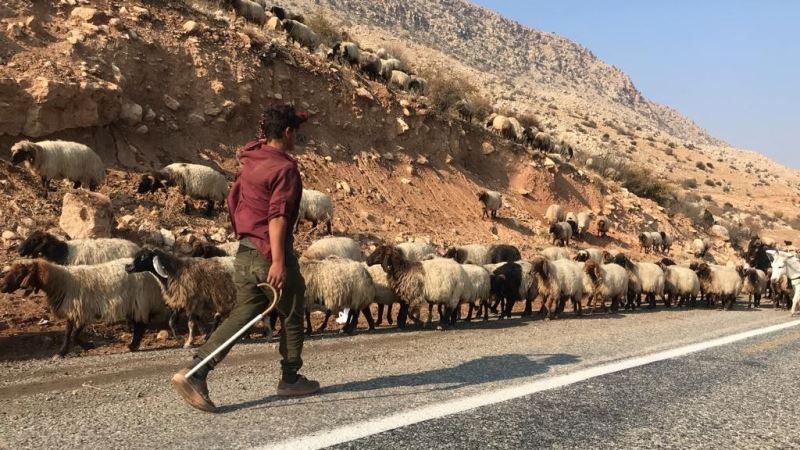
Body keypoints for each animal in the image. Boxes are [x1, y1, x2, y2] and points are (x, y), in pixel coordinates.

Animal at [1, 258, 167, 356]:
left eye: (20, 273)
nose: (2, 287)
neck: (62, 282)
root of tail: (151, 274)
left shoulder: (83, 310)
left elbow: (74, 334)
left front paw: (88, 346)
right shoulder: (73, 310)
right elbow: (68, 332)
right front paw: (62, 352)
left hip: (139, 301)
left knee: (140, 325)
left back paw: (132, 345)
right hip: (133, 304)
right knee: (139, 324)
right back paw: (133, 345)